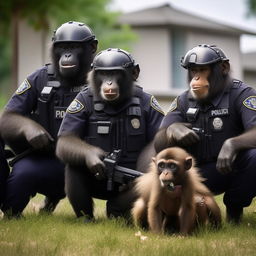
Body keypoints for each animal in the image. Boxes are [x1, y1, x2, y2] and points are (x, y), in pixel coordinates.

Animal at [0, 21, 98, 216]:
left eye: (74, 47)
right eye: (63, 47)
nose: (67, 54)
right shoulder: (34, 76)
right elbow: (9, 115)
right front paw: (37, 134)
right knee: (23, 172)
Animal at [56, 48, 164, 220]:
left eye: (115, 73)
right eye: (104, 74)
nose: (109, 83)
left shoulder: (152, 103)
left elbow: (156, 143)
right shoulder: (79, 100)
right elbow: (67, 138)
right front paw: (94, 159)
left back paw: (116, 211)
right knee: (75, 163)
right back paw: (86, 218)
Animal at [154, 44, 256, 224]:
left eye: (203, 69)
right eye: (194, 70)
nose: (196, 78)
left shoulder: (246, 94)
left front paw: (227, 148)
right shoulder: (179, 100)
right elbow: (160, 138)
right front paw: (178, 129)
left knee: (251, 156)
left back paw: (233, 215)